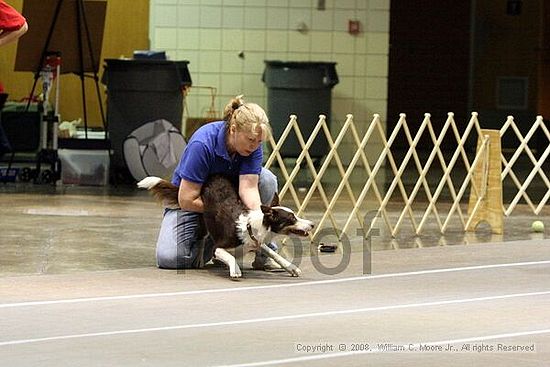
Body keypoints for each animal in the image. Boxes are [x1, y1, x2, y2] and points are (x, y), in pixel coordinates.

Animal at [138, 175, 314, 278]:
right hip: (203, 221)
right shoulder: (218, 247)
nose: (312, 224)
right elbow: (229, 255)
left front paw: (291, 267)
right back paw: (199, 260)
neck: (252, 227)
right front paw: (235, 269)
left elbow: (274, 254)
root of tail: (211, 179)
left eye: (295, 215)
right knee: (202, 239)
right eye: (291, 218)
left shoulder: (257, 242)